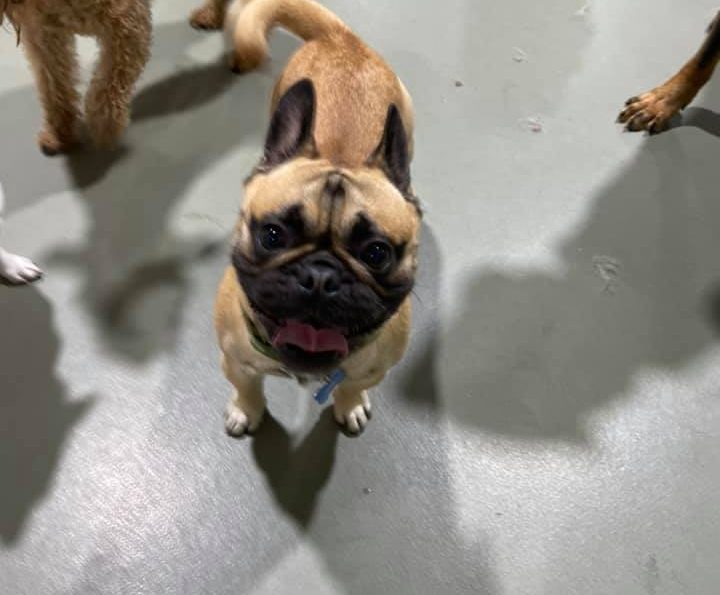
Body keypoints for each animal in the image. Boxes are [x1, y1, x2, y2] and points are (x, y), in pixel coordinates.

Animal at [1, 0, 151, 155]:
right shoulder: (44, 32)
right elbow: (54, 88)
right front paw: (58, 133)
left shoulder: (128, 22)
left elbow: (108, 85)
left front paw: (105, 130)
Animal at [209, 0, 421, 436]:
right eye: (272, 235)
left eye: (377, 254)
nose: (320, 277)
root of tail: (342, 39)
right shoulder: (235, 362)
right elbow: (247, 388)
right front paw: (245, 410)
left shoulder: (372, 371)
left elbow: (351, 387)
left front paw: (350, 404)